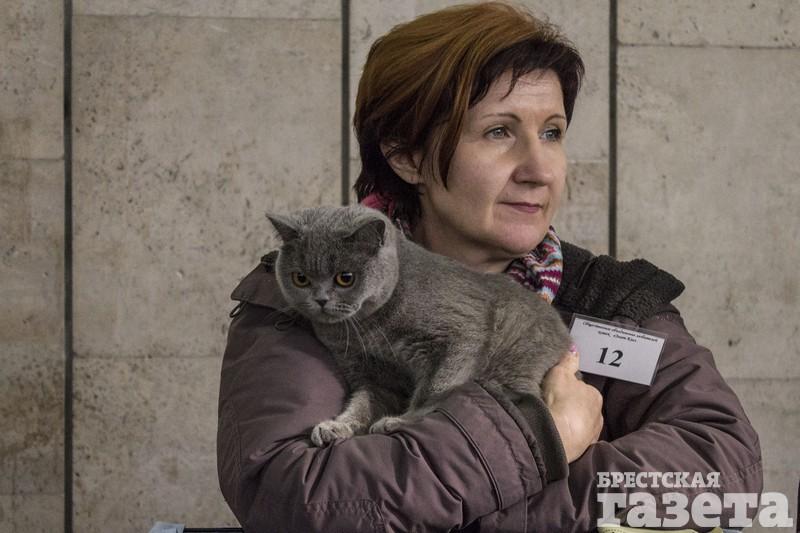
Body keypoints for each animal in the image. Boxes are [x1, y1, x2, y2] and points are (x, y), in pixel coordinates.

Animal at [266, 204, 572, 446]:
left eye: (345, 278)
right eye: (300, 278)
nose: (320, 300)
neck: (370, 330)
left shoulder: (461, 333)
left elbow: (434, 389)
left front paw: (401, 421)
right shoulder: (371, 372)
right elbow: (362, 403)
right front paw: (336, 426)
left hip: (516, 364)